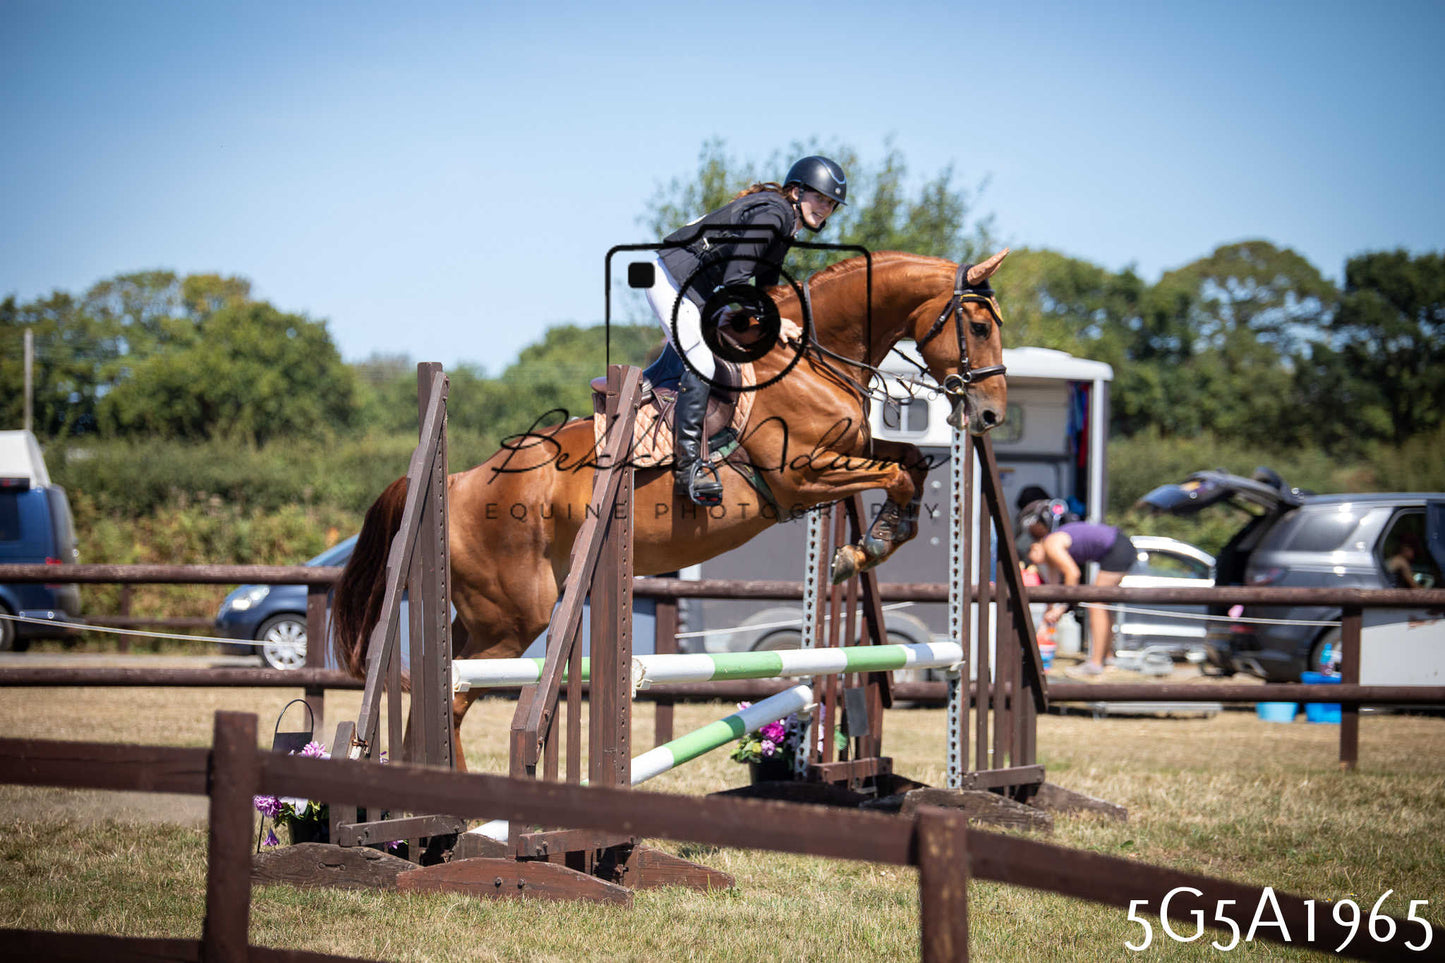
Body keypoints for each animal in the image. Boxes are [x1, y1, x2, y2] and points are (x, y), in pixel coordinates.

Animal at [333, 248, 1011, 763]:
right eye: (979, 327)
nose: (989, 415)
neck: (809, 360)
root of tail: (456, 481)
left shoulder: (849, 451)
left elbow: (911, 462)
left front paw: (867, 544)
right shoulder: (803, 475)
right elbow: (897, 474)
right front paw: (864, 547)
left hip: (487, 614)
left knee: (442, 686)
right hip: (512, 619)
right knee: (453, 690)